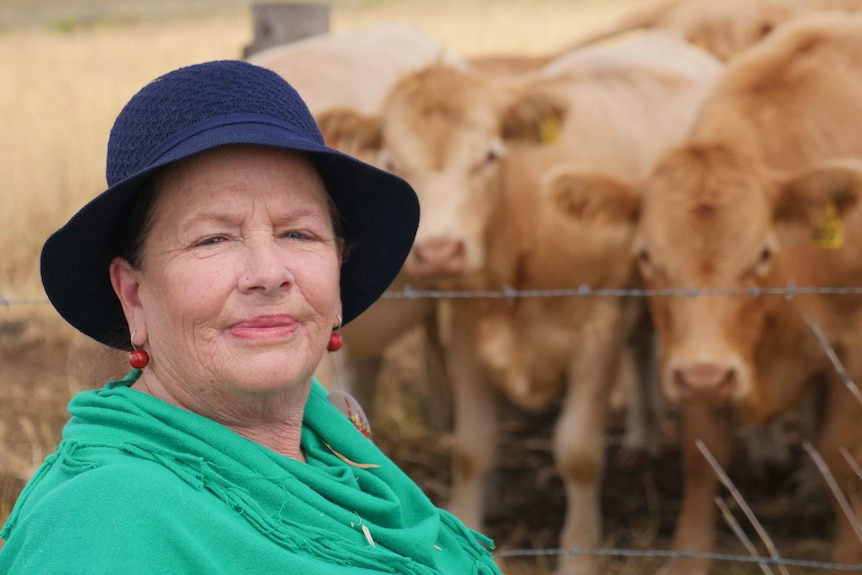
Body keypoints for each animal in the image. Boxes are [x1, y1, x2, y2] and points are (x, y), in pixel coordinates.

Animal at [320, 32, 724, 575]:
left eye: (490, 155)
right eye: (392, 163)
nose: (439, 251)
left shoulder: (600, 325)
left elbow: (578, 452)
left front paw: (579, 555)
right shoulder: (466, 328)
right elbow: (473, 447)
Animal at [556, 14, 862, 575]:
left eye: (763, 251)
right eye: (646, 254)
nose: (707, 373)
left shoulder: (851, 347)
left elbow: (843, 456)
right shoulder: (690, 359)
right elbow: (704, 457)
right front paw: (688, 556)